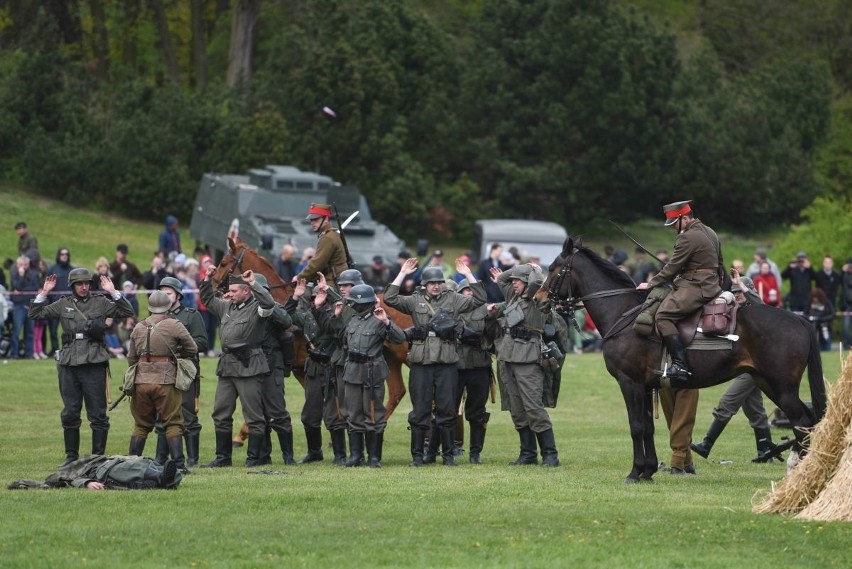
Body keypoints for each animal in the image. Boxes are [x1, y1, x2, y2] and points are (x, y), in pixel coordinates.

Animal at [540, 237, 824, 482]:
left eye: (553, 269)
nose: (538, 298)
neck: (624, 314)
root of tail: (799, 319)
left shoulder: (629, 383)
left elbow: (636, 426)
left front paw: (634, 472)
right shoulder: (646, 387)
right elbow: (648, 428)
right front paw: (647, 471)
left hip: (782, 387)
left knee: (803, 422)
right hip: (767, 383)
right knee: (808, 421)